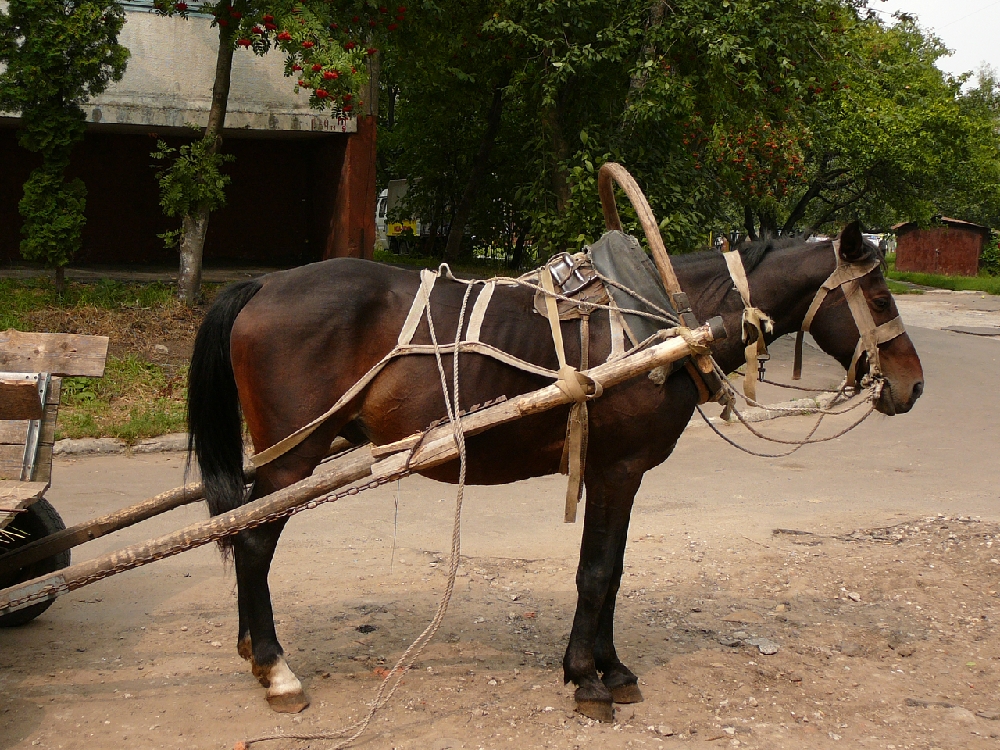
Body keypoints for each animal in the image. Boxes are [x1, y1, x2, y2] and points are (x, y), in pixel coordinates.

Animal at [186, 220, 920, 720]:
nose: (912, 386)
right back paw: (276, 668)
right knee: (252, 544)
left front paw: (612, 667)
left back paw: (254, 651)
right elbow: (595, 573)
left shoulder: (616, 473)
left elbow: (614, 571)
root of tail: (264, 284)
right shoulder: (618, 468)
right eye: (882, 300)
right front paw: (586, 677)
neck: (666, 324)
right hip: (295, 459)